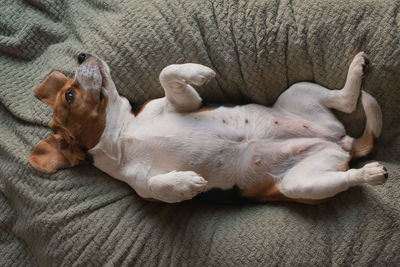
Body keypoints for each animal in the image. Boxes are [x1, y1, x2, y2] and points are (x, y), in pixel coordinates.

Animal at [30, 51, 388, 203]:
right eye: (71, 95)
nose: (81, 54)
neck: (122, 134)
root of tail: (342, 143)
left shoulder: (183, 102)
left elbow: (168, 72)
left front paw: (198, 71)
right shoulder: (144, 188)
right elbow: (160, 186)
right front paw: (186, 183)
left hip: (298, 91)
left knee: (345, 99)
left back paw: (356, 70)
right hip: (300, 185)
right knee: (347, 175)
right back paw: (370, 173)